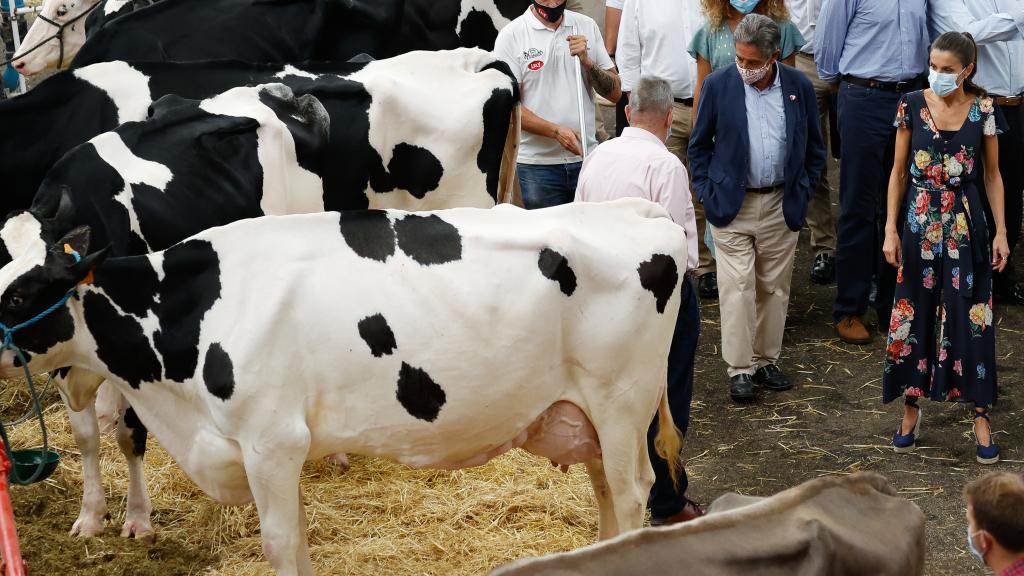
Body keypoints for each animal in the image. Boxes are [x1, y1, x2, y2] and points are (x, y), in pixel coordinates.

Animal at [0, 195, 688, 569]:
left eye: (19, 294)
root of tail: (640, 211)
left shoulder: (271, 441)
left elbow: (280, 544)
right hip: (583, 413)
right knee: (606, 493)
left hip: (621, 404)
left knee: (632, 493)